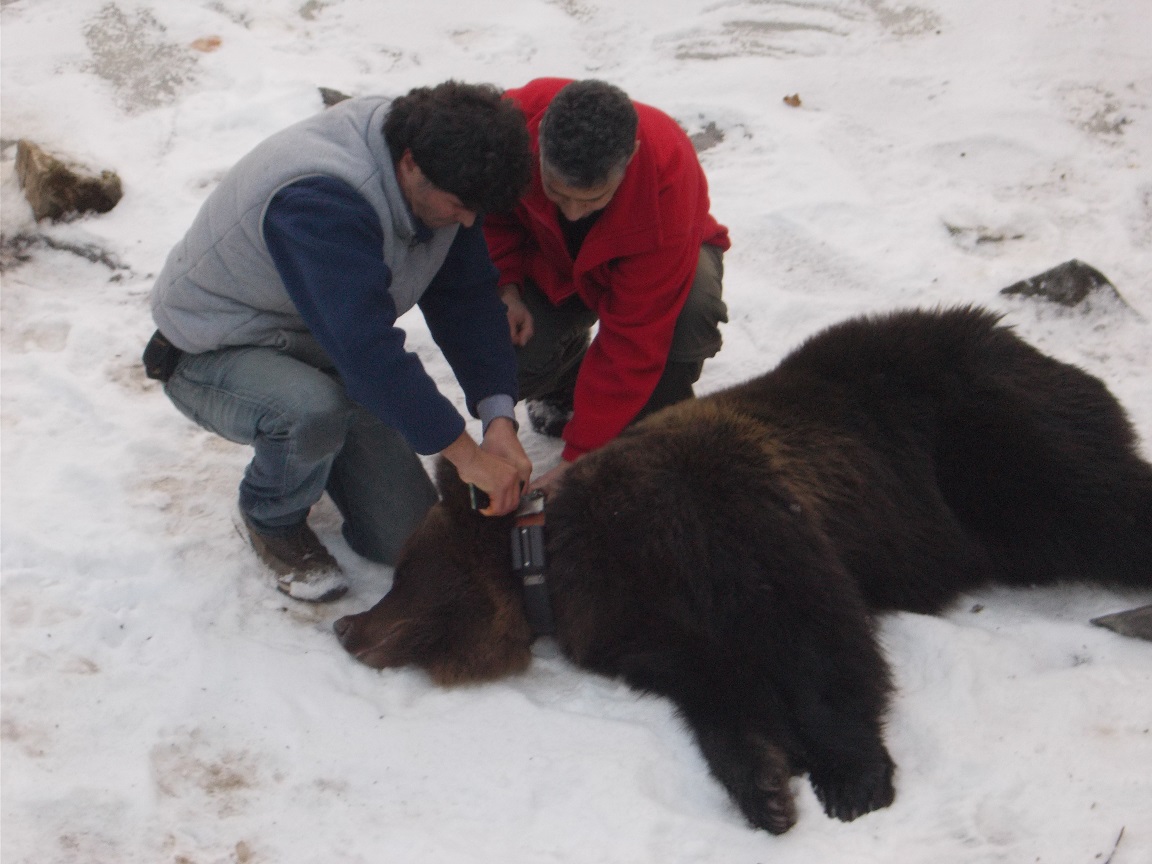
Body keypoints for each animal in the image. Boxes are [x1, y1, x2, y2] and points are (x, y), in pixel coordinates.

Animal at [331, 306, 1152, 838]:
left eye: (404, 572)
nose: (345, 625)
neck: (562, 568)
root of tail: (1018, 339)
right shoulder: (650, 626)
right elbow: (719, 694)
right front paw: (766, 788)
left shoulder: (724, 516)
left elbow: (819, 634)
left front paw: (853, 777)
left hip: (987, 446)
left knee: (1098, 499)